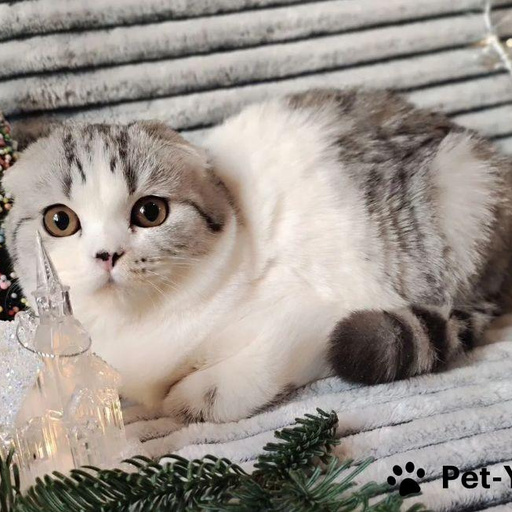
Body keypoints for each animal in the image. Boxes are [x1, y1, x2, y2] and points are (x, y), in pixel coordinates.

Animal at [4, 89, 512, 424]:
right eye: (60, 221)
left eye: (150, 212)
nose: (107, 254)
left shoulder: (313, 312)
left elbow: (262, 364)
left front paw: (193, 396)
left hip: (463, 186)